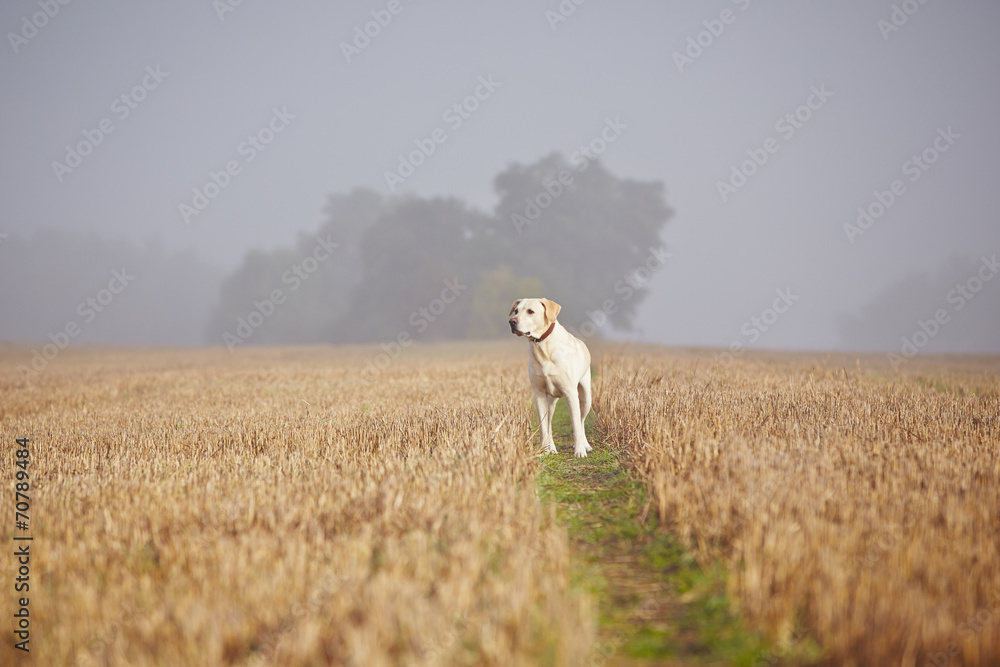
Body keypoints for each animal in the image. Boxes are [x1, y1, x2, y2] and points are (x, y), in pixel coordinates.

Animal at [512, 300, 588, 456]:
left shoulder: (571, 393)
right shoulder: (539, 394)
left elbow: (576, 424)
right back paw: (550, 446)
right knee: (548, 423)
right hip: (550, 401)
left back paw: (585, 445)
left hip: (586, 397)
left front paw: (579, 450)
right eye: (516, 311)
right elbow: (543, 426)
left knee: (582, 421)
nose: (512, 321)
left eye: (530, 311)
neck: (542, 346)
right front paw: (545, 449)